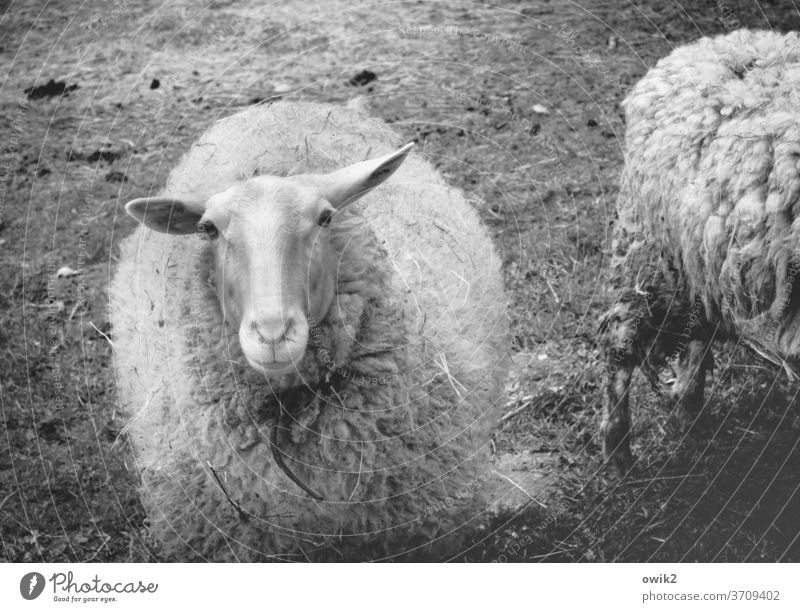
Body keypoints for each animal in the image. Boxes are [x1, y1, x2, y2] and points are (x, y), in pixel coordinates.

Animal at [600, 29, 800, 474]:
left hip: (702, 256)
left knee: (697, 326)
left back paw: (684, 405)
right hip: (656, 252)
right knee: (621, 335)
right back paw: (618, 449)